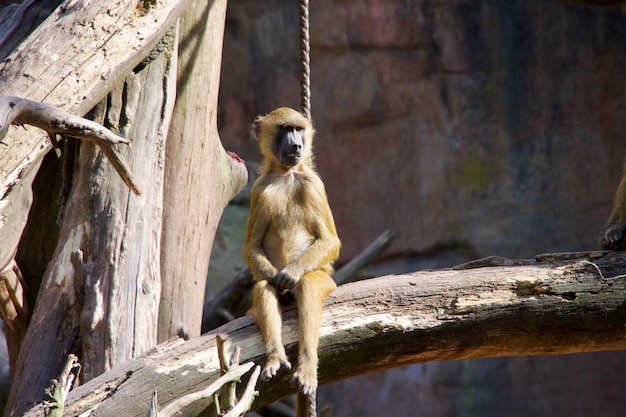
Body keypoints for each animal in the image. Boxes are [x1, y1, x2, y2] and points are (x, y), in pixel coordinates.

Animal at [243, 106, 338, 410]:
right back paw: (275, 358)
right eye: (286, 129)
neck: (286, 174)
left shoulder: (314, 184)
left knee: (308, 287)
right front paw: (277, 278)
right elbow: (251, 248)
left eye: (298, 129)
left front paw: (289, 273)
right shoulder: (258, 189)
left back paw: (306, 370)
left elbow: (330, 241)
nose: (296, 145)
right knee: (264, 288)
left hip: (323, 280)